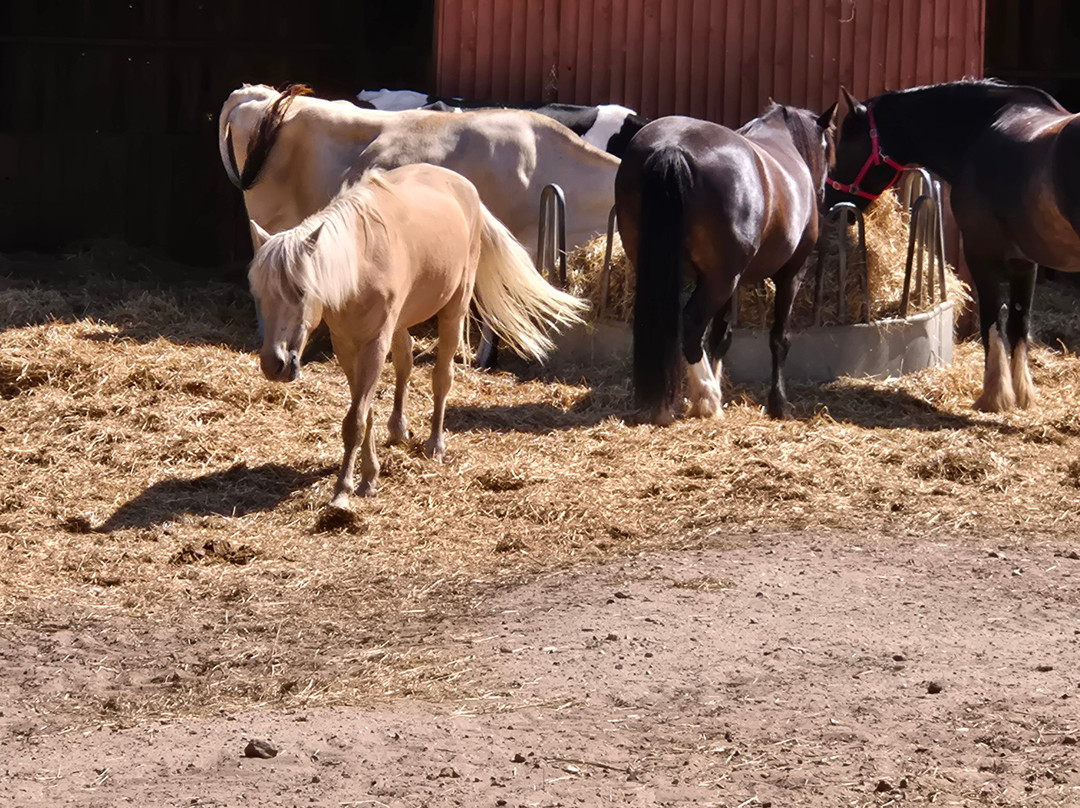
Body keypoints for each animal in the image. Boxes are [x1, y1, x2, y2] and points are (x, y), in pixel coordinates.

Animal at [247, 163, 586, 509]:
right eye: (258, 293)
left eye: (301, 291)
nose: (274, 363)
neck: (360, 263)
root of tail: (466, 188)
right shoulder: (347, 346)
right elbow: (365, 412)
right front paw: (369, 477)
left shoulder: (374, 344)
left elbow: (355, 420)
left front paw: (343, 492)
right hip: (401, 322)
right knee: (405, 362)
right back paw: (398, 428)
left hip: (454, 310)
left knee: (442, 377)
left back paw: (435, 444)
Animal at [615, 102, 838, 425]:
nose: (822, 193)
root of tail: (672, 147)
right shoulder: (791, 274)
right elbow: (779, 338)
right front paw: (779, 404)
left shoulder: (724, 281)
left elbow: (720, 336)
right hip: (721, 279)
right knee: (691, 325)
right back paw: (707, 398)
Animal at [825, 79, 1080, 412]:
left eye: (845, 146)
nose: (829, 202)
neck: (979, 133)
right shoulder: (1026, 262)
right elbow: (1018, 324)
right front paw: (1022, 396)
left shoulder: (980, 254)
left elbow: (992, 321)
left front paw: (994, 396)